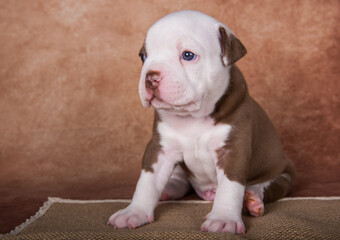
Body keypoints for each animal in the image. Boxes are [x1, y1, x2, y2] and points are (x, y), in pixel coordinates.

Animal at [107, 10, 294, 233]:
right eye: (143, 56)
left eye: (188, 55)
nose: (150, 77)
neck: (192, 118)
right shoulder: (160, 149)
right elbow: (147, 181)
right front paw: (134, 212)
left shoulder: (233, 150)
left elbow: (230, 187)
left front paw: (224, 219)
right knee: (181, 179)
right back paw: (168, 189)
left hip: (283, 173)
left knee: (267, 185)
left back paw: (252, 199)